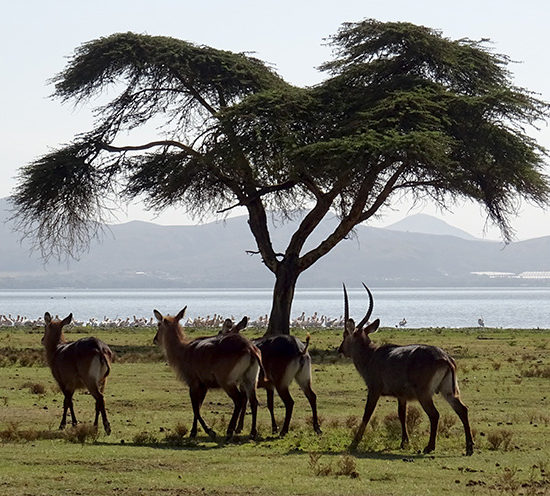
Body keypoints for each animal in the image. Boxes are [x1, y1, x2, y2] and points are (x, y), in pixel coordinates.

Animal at [153, 307, 262, 440]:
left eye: (159, 324)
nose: (155, 339)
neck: (183, 350)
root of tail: (250, 348)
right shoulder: (204, 385)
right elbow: (198, 406)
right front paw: (194, 432)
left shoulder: (193, 383)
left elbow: (195, 408)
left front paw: (209, 431)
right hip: (250, 379)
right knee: (254, 401)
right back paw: (253, 432)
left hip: (227, 382)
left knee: (239, 400)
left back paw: (230, 431)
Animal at [339, 284, 474, 456]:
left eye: (345, 335)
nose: (340, 350)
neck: (371, 355)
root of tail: (445, 358)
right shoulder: (401, 396)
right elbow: (402, 415)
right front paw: (404, 442)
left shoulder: (374, 390)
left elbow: (367, 414)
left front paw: (354, 443)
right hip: (448, 391)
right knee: (462, 410)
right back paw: (469, 447)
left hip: (424, 394)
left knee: (435, 414)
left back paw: (430, 447)